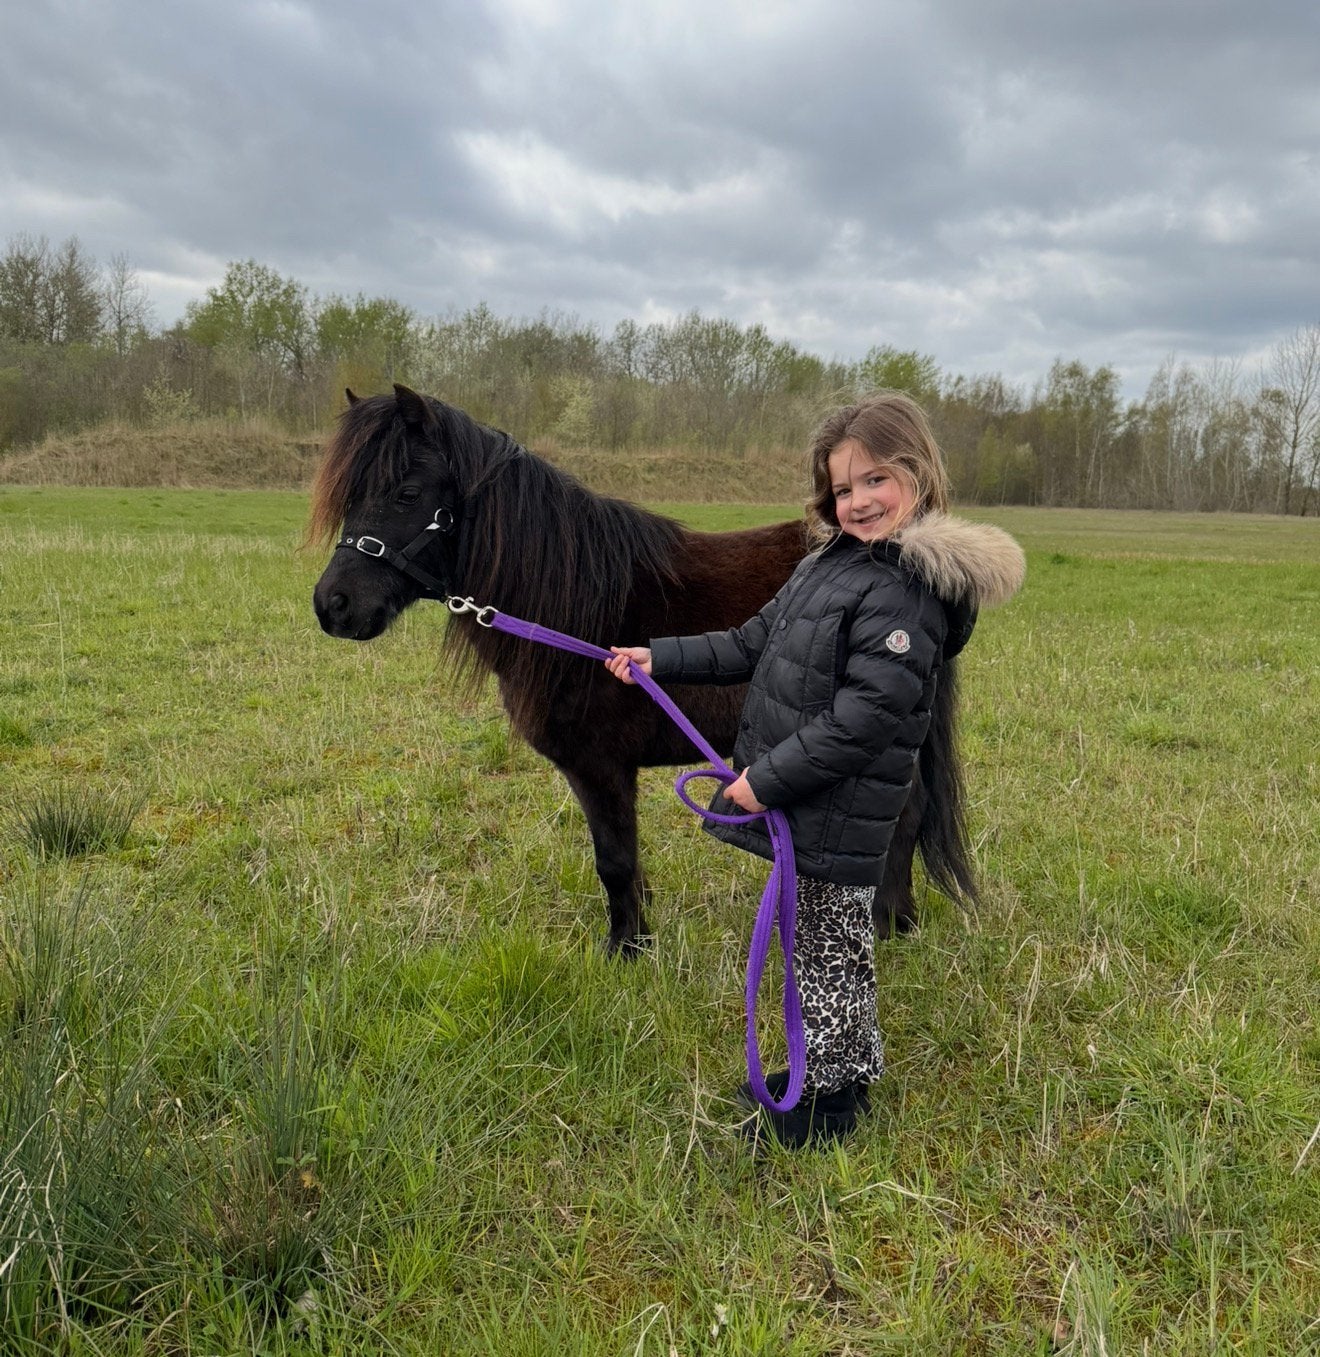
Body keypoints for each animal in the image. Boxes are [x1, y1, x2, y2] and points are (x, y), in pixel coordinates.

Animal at [308, 385, 976, 955]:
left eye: (406, 493)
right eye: (350, 497)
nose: (332, 606)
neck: (576, 608)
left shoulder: (599, 767)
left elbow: (614, 859)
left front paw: (625, 949)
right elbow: (625, 860)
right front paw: (638, 929)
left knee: (903, 820)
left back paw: (889, 927)